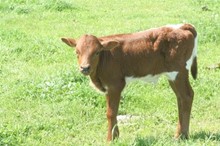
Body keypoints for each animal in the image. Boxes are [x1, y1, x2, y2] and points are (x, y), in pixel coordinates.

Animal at [61, 23, 198, 141]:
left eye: (97, 52)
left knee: (186, 96)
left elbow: (111, 113)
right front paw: (115, 136)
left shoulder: (115, 84)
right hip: (173, 75)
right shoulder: (107, 87)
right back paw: (180, 134)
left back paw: (182, 135)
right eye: (77, 52)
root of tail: (182, 26)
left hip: (178, 71)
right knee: (180, 98)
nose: (85, 68)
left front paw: (111, 139)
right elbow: (111, 111)